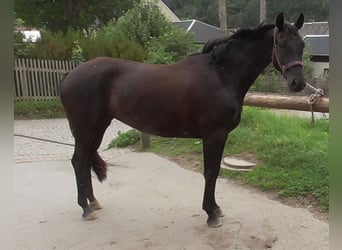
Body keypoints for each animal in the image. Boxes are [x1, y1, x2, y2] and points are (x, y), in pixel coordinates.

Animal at [60, 13, 306, 229]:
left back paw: (93, 202)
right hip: (84, 129)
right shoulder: (214, 134)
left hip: (98, 127)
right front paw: (211, 213)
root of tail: (70, 75)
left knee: (85, 160)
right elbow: (211, 172)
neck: (221, 75)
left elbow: (214, 171)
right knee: (78, 161)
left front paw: (214, 209)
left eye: (302, 45)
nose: (298, 83)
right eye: (281, 44)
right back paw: (86, 208)